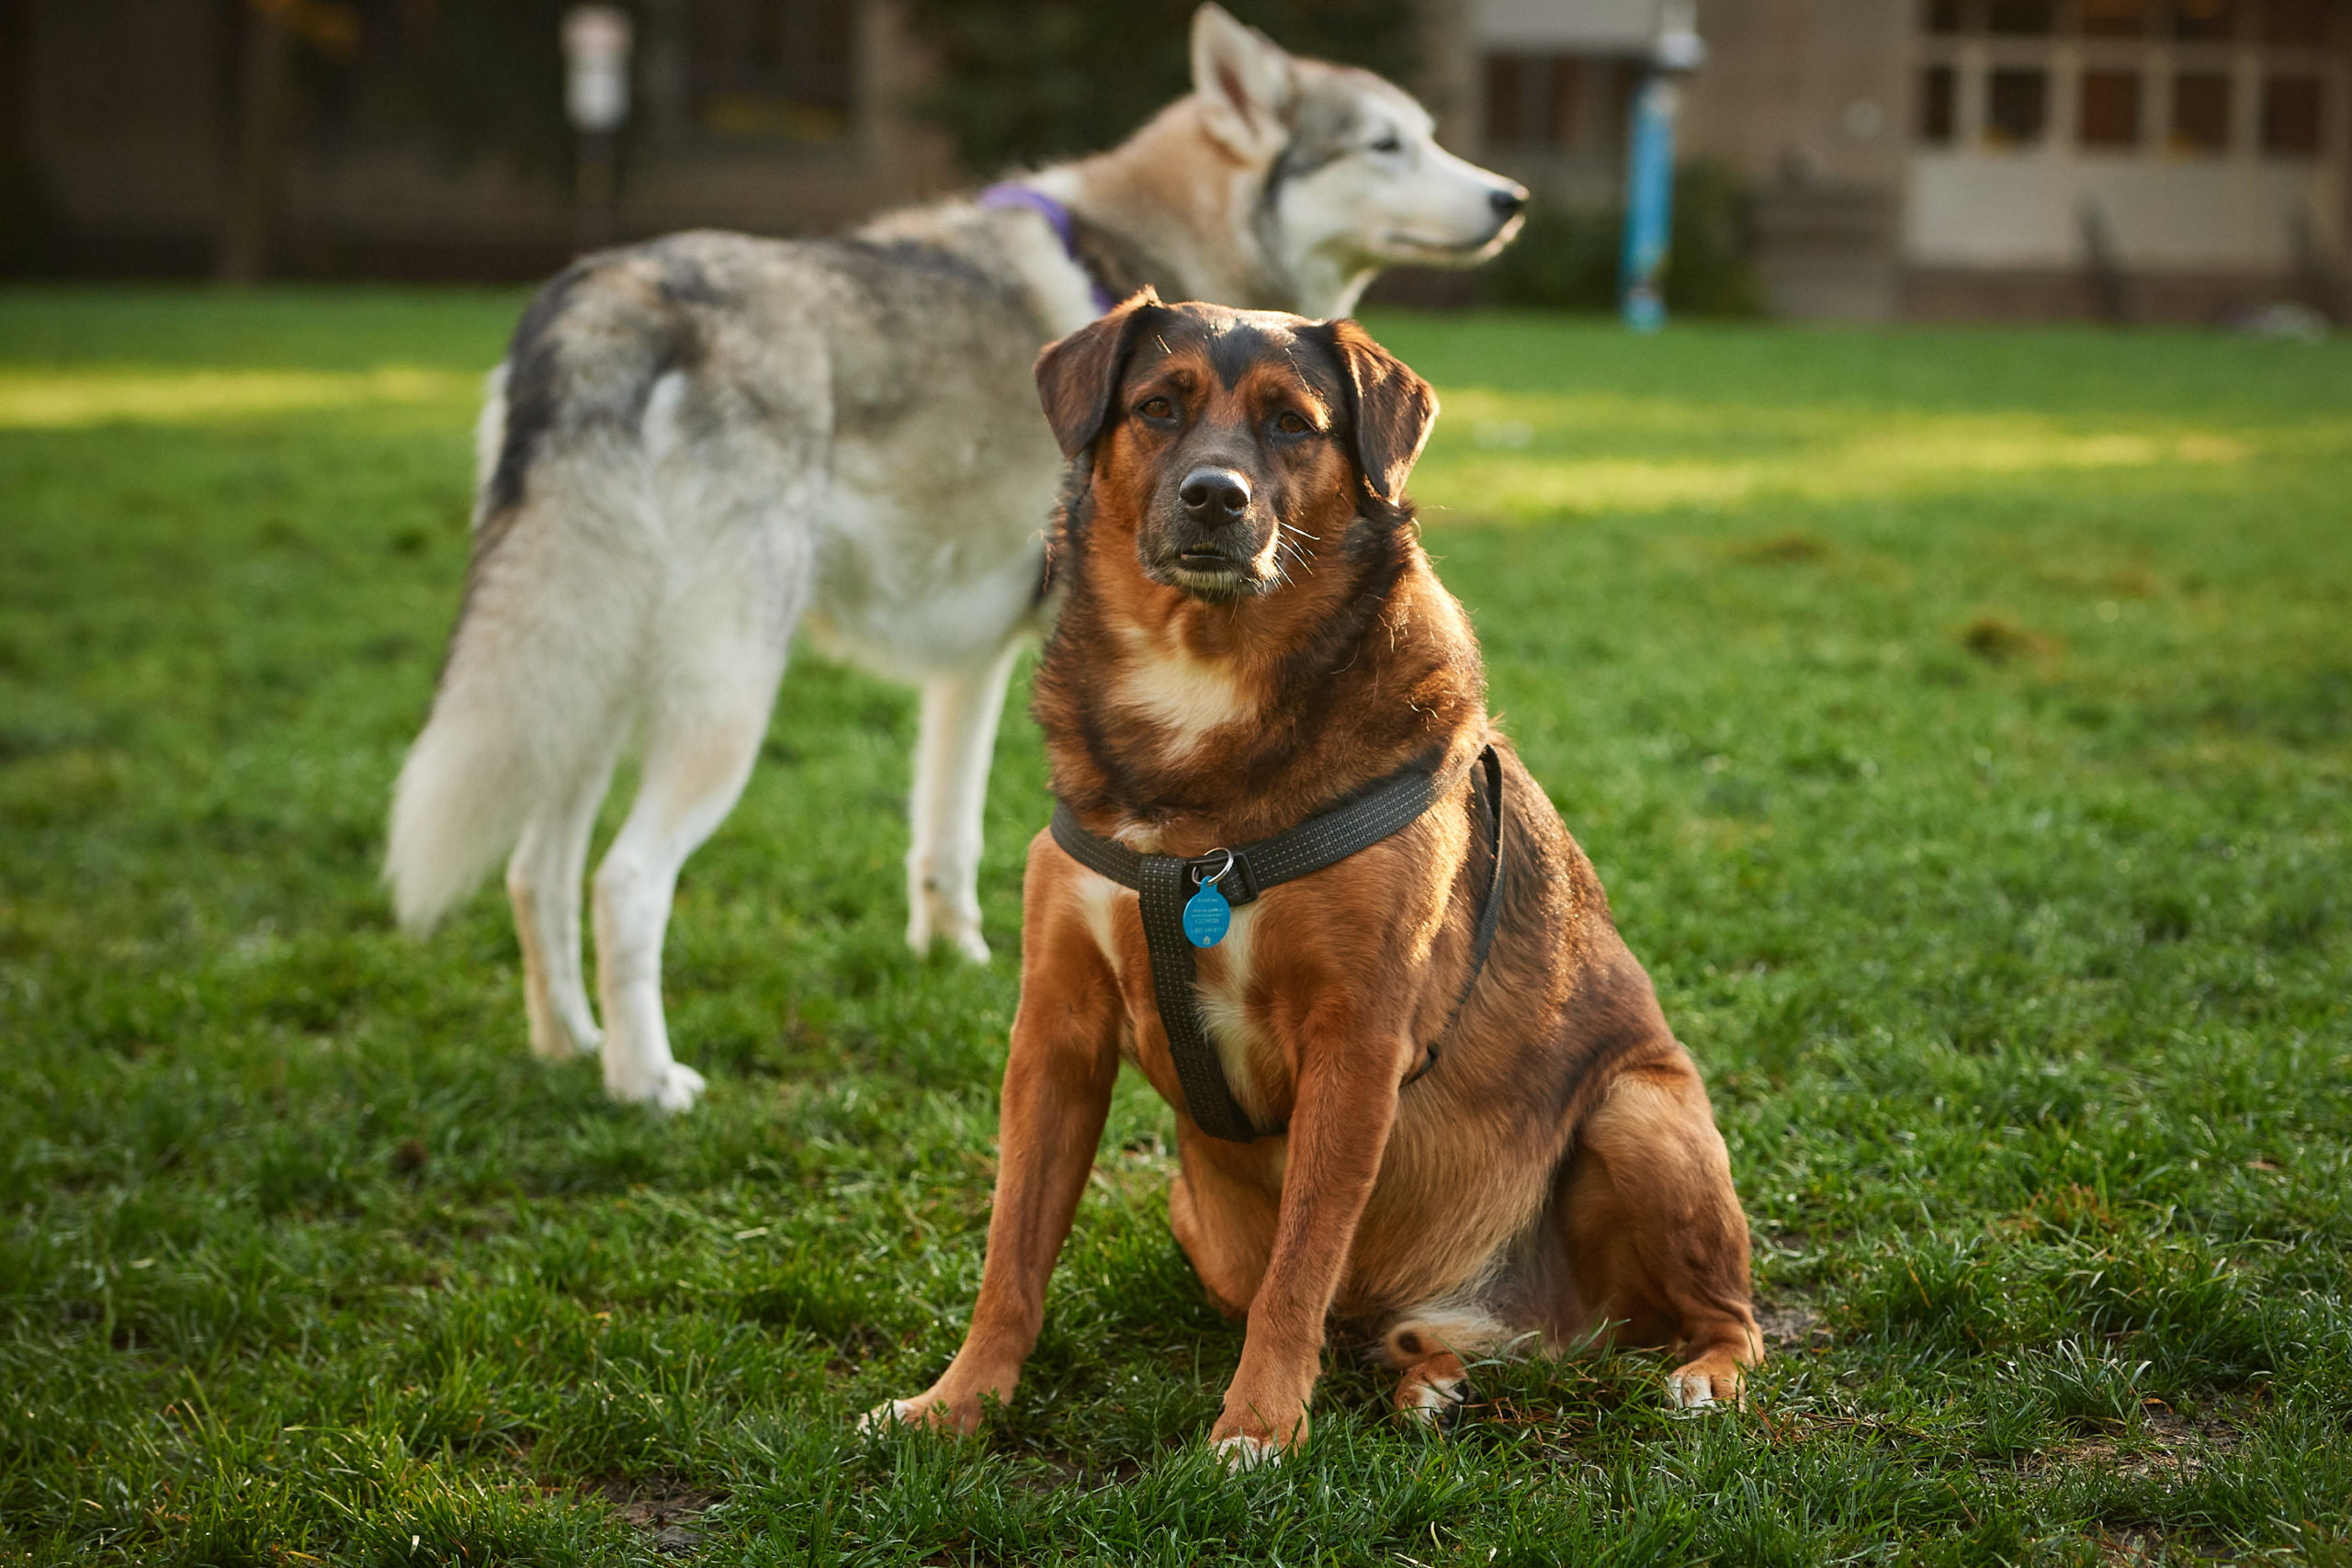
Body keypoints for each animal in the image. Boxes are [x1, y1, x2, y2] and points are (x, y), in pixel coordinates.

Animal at [380, 3, 1523, 1104]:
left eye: (1429, 133)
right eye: (1385, 144)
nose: (1509, 197)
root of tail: (606, 296)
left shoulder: (975, 659)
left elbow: (944, 833)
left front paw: (952, 959)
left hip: (585, 683)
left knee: (536, 869)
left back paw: (568, 1044)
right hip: (722, 701)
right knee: (624, 881)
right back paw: (643, 1082)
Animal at [875, 297, 1758, 1476]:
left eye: (1292, 424)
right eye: (1158, 408)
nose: (1214, 496)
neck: (1206, 680)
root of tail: (1525, 1320)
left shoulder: (1355, 1039)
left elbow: (1298, 1271)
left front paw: (1256, 1428)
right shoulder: (1056, 1031)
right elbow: (1011, 1254)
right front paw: (959, 1403)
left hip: (1642, 1112)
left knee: (1727, 1314)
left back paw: (1701, 1374)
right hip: (1196, 1218)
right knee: (1378, 1333)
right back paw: (1432, 1377)